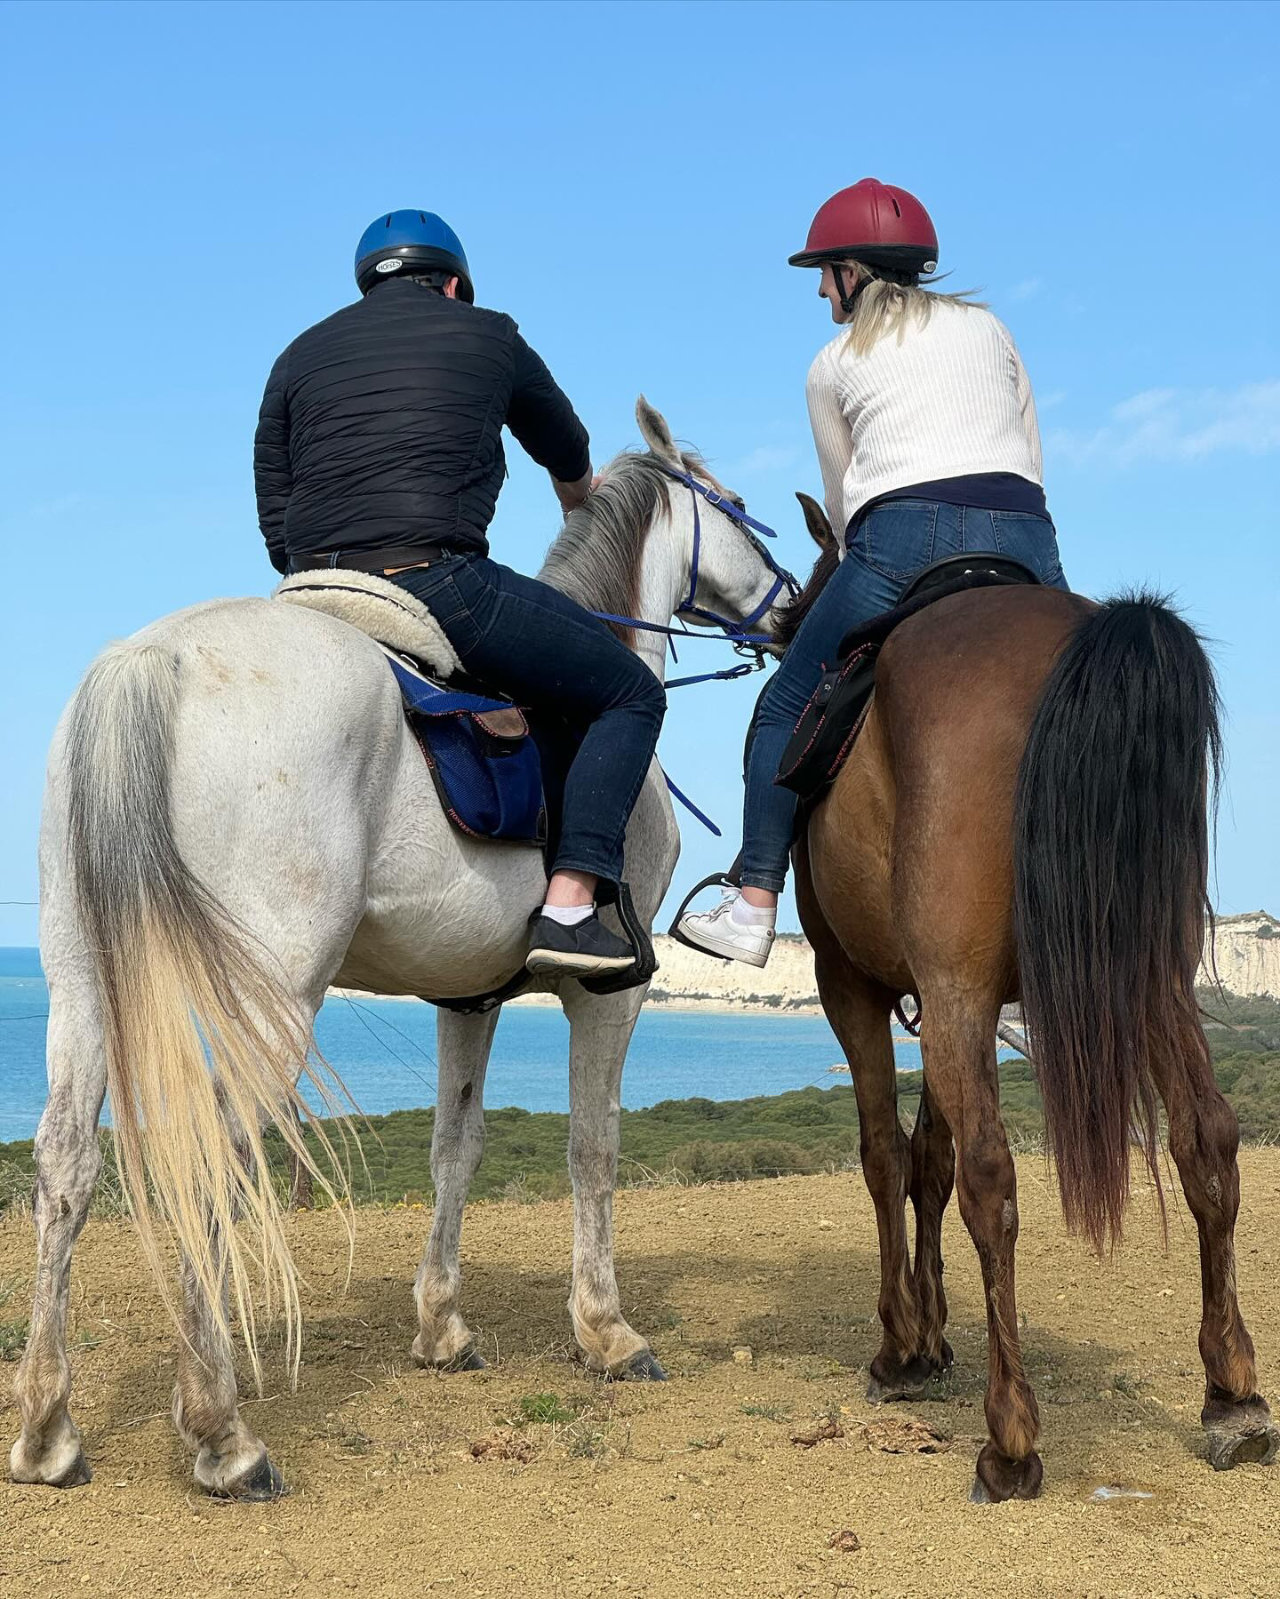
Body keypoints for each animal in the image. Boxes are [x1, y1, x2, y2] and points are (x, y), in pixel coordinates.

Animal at [9, 400, 791, 1501]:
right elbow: (592, 1150)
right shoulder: (611, 997)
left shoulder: (470, 998)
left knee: (67, 1166)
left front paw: (442, 1326)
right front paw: (606, 1332)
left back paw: (48, 1428)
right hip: (268, 999)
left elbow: (453, 1147)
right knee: (214, 1161)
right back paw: (222, 1432)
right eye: (741, 509)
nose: (794, 604)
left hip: (82, 984)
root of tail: (151, 660)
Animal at [776, 494, 1278, 1502]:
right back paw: (1233, 1392)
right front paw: (934, 1335)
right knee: (1206, 1137)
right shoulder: (933, 996)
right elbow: (926, 1159)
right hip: (1149, 981)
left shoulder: (859, 985)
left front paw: (902, 1346)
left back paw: (1009, 1436)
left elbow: (889, 1157)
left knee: (992, 1179)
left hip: (965, 994)